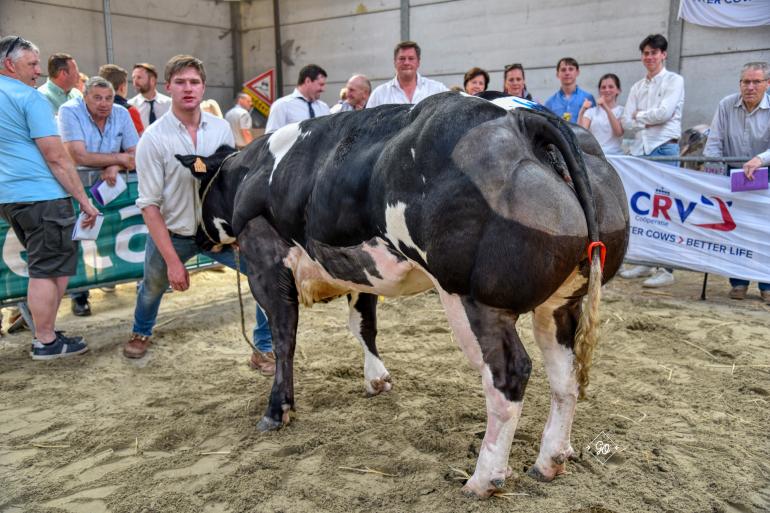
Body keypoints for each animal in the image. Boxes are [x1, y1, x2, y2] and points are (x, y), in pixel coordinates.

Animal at [177, 92, 628, 496]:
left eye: (200, 189)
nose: (195, 238)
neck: (253, 171)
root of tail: (525, 119)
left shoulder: (265, 262)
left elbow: (285, 339)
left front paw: (277, 411)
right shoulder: (361, 269)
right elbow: (363, 324)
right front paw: (376, 380)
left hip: (472, 298)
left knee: (509, 375)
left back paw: (483, 480)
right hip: (562, 303)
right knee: (565, 375)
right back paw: (550, 461)